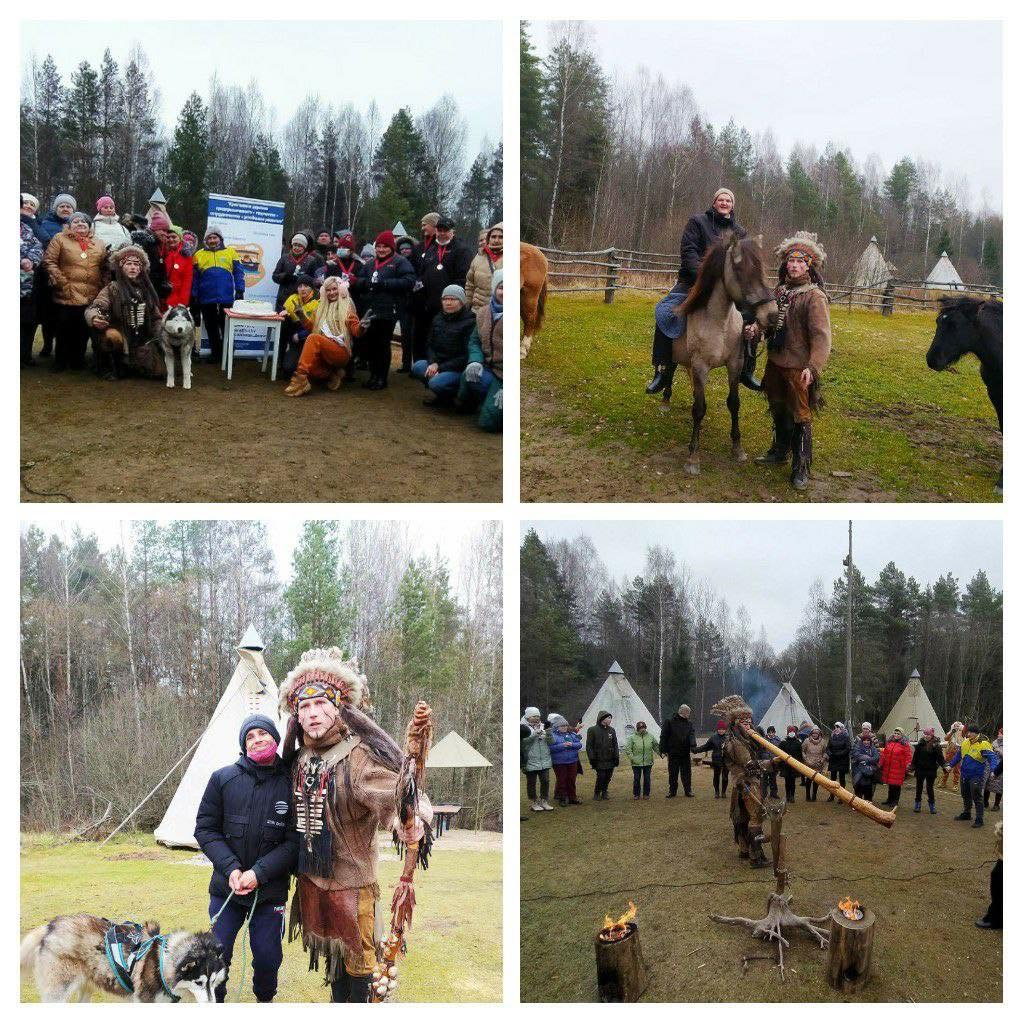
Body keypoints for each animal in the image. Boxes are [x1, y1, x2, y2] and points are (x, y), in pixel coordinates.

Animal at [671, 232, 774, 475]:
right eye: (742, 271)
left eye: (763, 271)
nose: (772, 315)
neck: (719, 323)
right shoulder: (700, 367)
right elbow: (699, 409)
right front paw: (693, 458)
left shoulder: (734, 365)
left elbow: (734, 402)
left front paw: (738, 449)